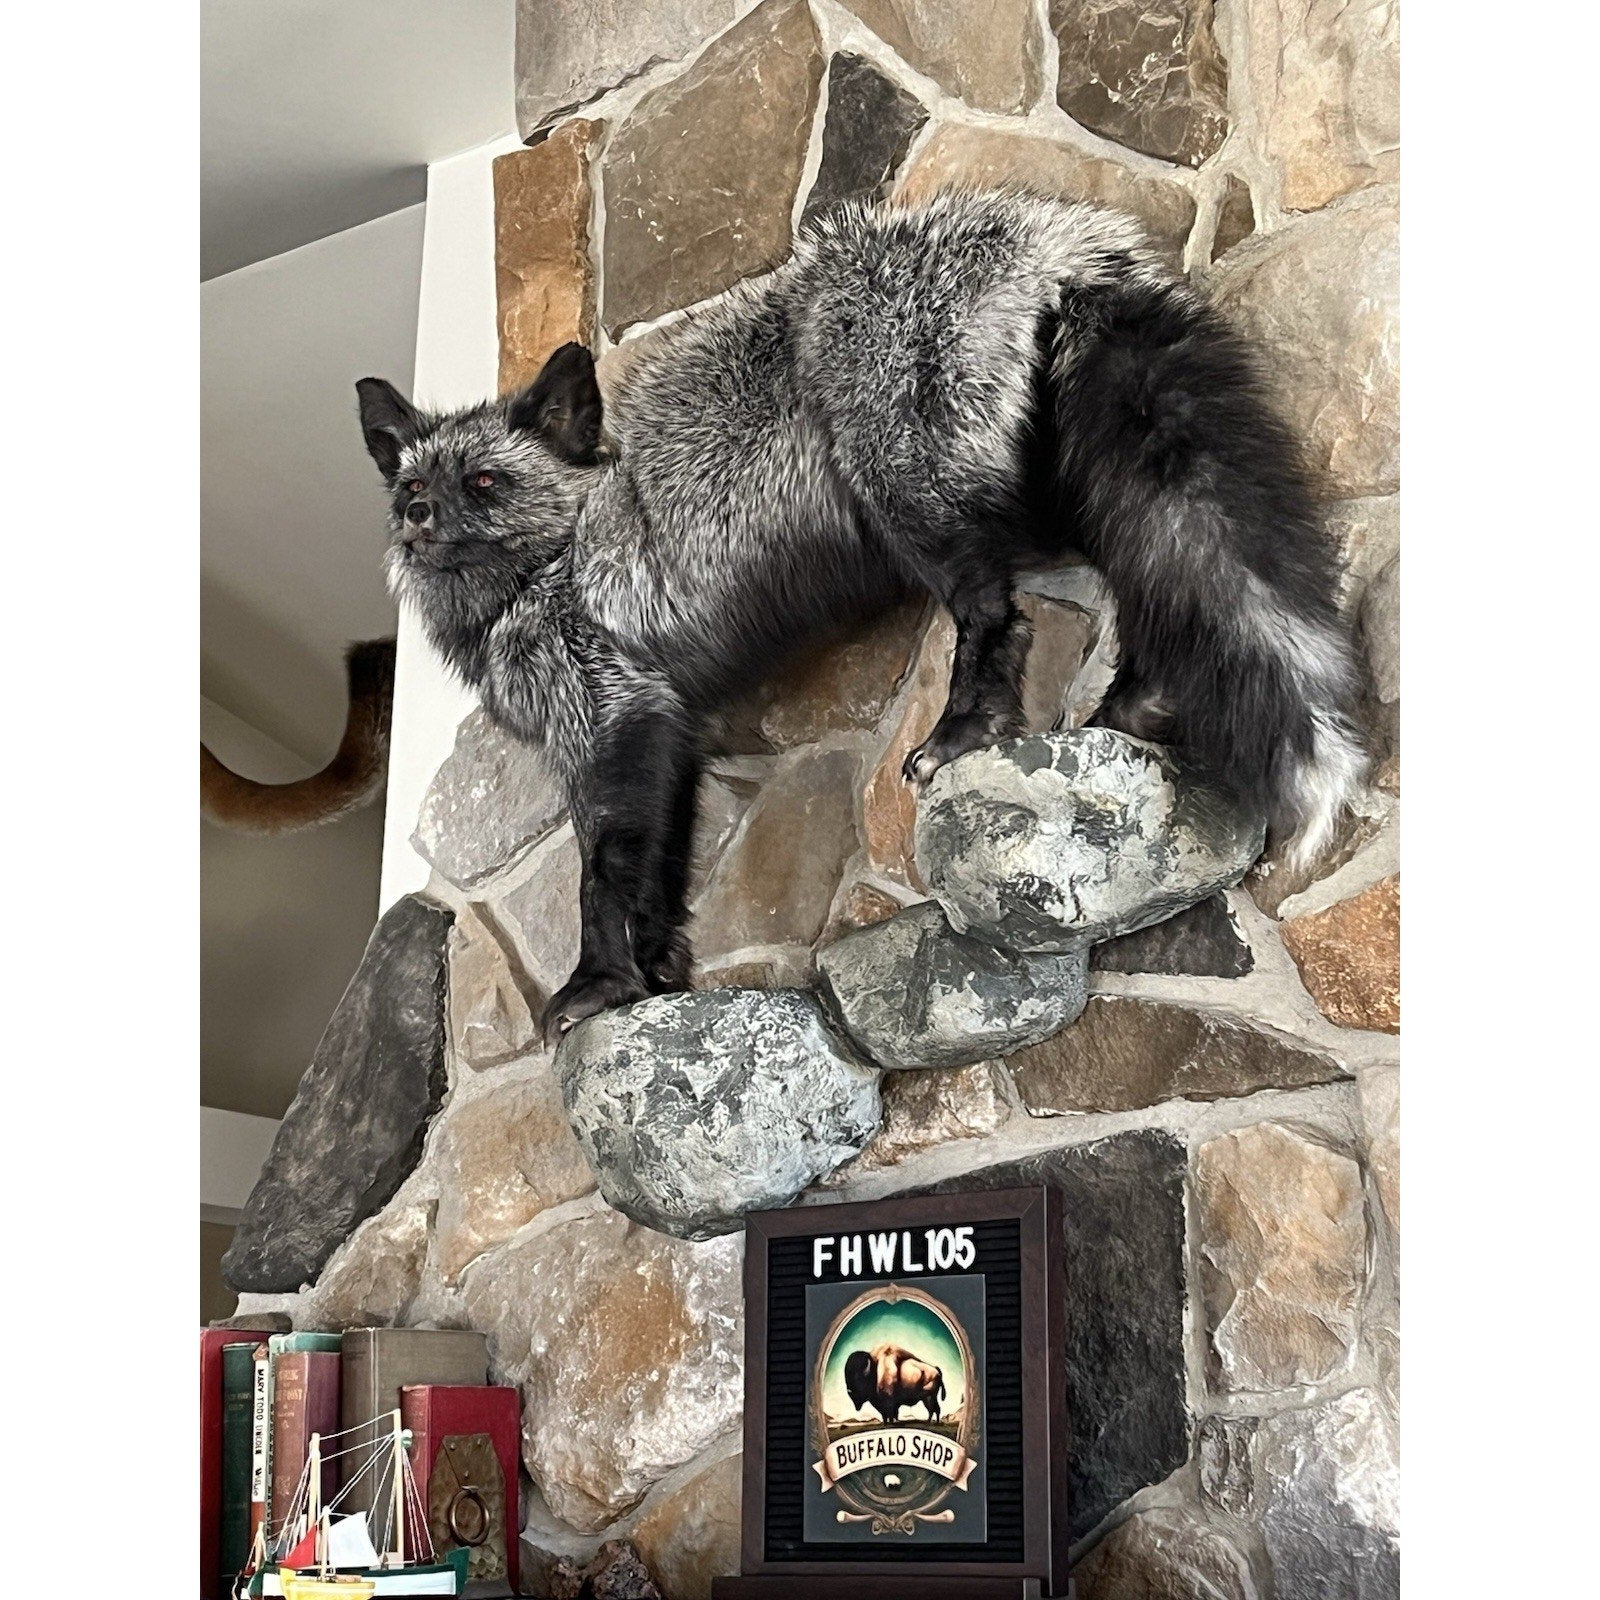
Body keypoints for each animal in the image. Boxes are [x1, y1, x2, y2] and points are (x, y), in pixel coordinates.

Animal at [356, 191, 1365, 1039]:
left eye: (485, 483)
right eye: (410, 487)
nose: (418, 518)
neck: (546, 571)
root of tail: (1049, 234)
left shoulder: (615, 717)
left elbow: (603, 878)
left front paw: (601, 986)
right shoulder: (669, 731)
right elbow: (661, 880)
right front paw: (659, 978)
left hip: (908, 497)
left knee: (996, 610)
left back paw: (969, 727)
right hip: (1052, 485)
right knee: (1146, 575)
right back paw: (1133, 704)